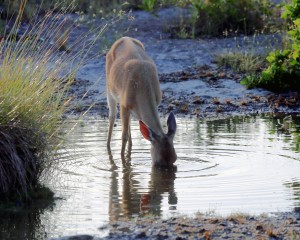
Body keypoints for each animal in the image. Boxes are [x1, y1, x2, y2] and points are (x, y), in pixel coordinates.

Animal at [105, 36, 177, 168]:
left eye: (174, 159)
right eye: (158, 162)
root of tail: (124, 38)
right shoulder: (124, 104)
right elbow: (123, 136)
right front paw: (123, 161)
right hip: (109, 88)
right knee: (112, 116)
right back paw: (107, 146)